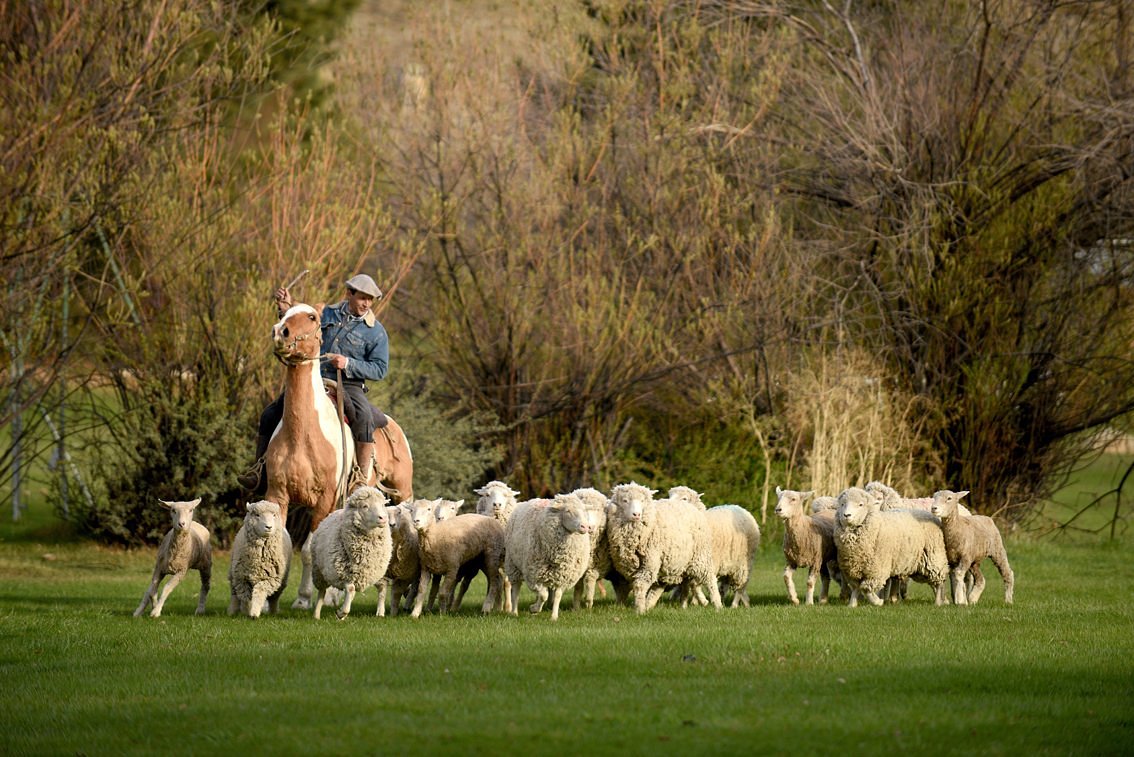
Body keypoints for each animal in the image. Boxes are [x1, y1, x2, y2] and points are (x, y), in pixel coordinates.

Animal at [267, 301, 415, 607]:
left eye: (312, 317)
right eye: (284, 313)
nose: (280, 333)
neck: (302, 434)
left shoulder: (324, 498)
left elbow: (310, 549)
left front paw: (303, 599)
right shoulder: (277, 494)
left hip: (403, 490)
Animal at [310, 485, 394, 621]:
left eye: (383, 505)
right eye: (365, 506)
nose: (383, 518)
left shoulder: (371, 570)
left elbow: (376, 589)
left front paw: (342, 613)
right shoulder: (343, 574)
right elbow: (350, 589)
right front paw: (341, 612)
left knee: (381, 587)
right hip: (319, 571)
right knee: (322, 592)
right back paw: (316, 615)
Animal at [505, 491, 594, 621]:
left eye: (584, 510)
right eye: (567, 511)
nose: (585, 527)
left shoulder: (563, 575)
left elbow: (556, 596)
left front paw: (554, 616)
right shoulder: (533, 574)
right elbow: (543, 595)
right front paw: (534, 608)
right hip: (513, 565)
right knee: (516, 590)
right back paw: (514, 612)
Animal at [607, 485, 721, 616]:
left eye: (642, 500)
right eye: (625, 500)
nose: (637, 514)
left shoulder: (650, 562)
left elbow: (640, 585)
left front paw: (639, 610)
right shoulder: (629, 567)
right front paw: (639, 607)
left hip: (699, 556)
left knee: (710, 578)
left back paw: (717, 604)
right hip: (672, 564)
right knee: (665, 587)